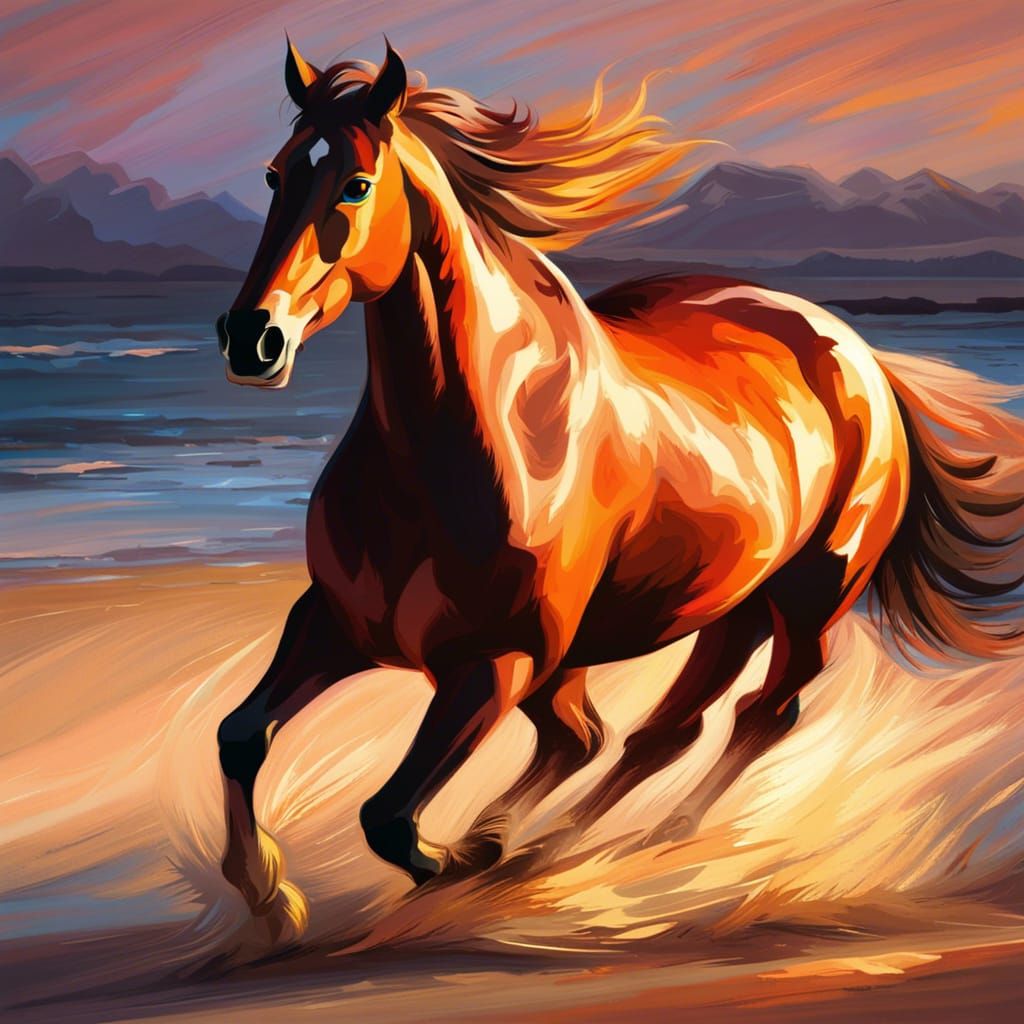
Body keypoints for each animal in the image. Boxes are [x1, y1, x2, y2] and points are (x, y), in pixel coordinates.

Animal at [213, 39, 1024, 943]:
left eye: (355, 184)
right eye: (276, 174)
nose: (252, 338)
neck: (465, 448)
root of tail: (863, 358)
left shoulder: (494, 664)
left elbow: (389, 817)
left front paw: (459, 862)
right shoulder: (334, 622)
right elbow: (240, 737)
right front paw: (273, 898)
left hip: (810, 598)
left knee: (751, 716)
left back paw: (624, 845)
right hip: (722, 605)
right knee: (639, 734)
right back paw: (564, 845)